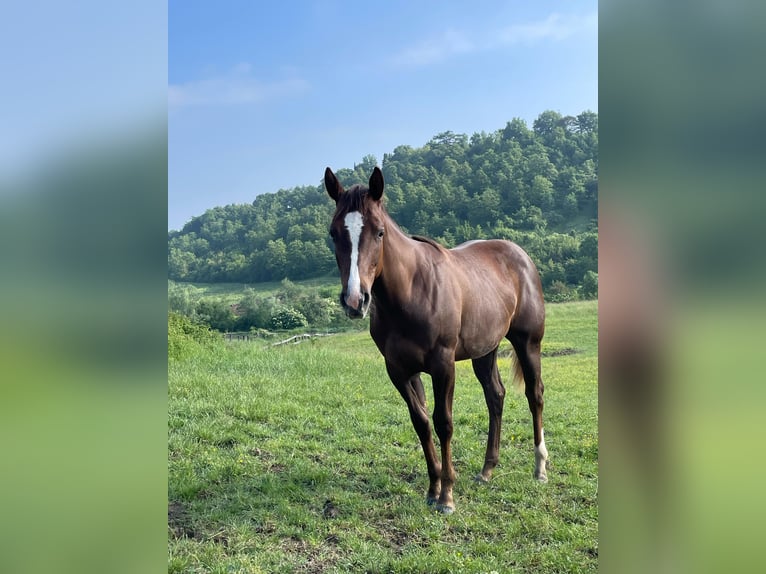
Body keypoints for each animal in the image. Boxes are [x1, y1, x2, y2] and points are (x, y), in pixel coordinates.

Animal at [324, 166, 547, 514]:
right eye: (334, 233)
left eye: (379, 232)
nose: (354, 300)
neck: (411, 291)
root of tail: (520, 255)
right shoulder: (400, 370)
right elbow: (421, 422)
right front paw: (433, 489)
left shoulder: (443, 366)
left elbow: (444, 423)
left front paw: (447, 496)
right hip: (485, 350)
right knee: (495, 396)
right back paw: (487, 470)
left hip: (528, 343)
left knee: (534, 394)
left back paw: (540, 468)